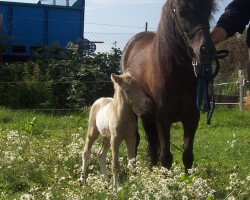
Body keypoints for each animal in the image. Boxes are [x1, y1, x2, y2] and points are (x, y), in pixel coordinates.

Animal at [121, 0, 217, 171]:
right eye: (181, 12)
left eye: (208, 11)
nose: (207, 50)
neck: (178, 74)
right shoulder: (163, 118)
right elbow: (166, 157)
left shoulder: (192, 117)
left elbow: (187, 156)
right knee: (136, 140)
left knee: (152, 144)